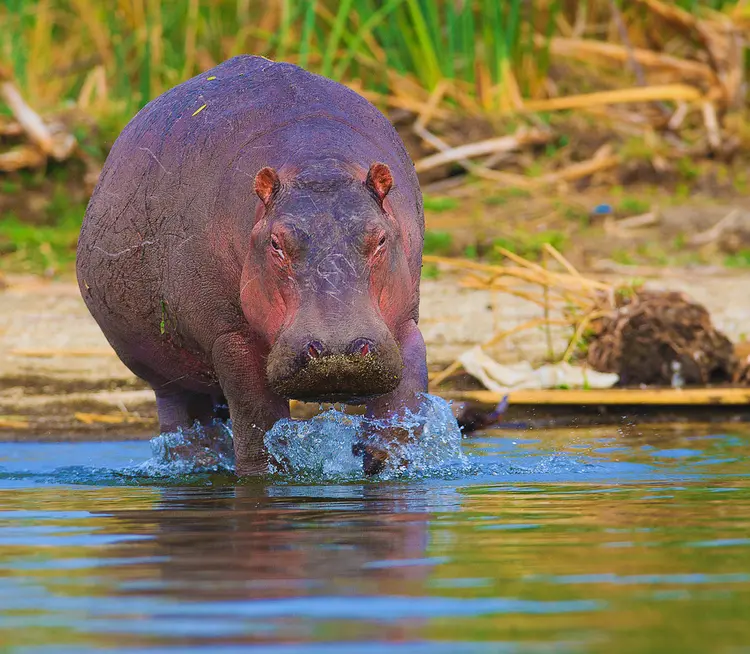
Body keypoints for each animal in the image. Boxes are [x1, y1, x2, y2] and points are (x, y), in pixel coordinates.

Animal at [78, 55, 428, 476]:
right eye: (276, 243)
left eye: (379, 239)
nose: (338, 349)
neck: (318, 163)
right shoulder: (231, 338)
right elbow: (258, 428)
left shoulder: (404, 326)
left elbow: (399, 418)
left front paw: (388, 463)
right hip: (169, 378)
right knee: (186, 430)